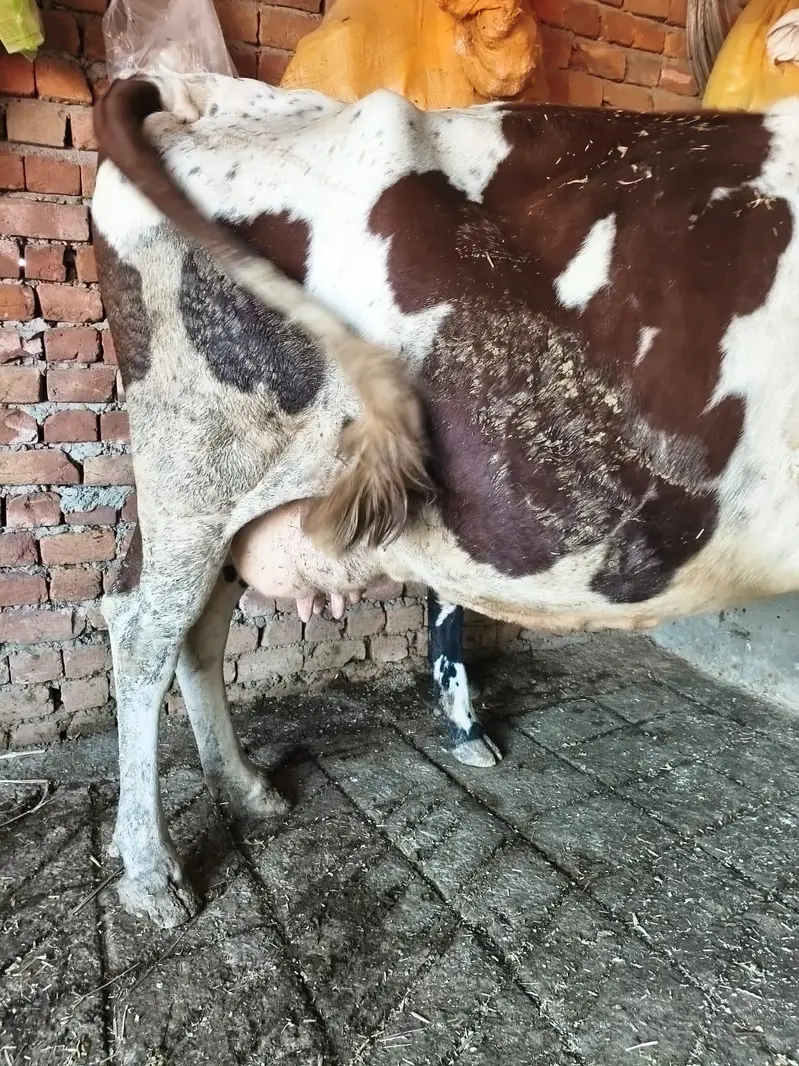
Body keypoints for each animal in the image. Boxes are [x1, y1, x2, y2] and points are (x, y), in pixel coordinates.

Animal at [93, 71, 799, 927]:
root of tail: (200, 92)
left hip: (230, 500)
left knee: (197, 629)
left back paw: (244, 787)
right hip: (197, 469)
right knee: (143, 631)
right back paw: (151, 874)